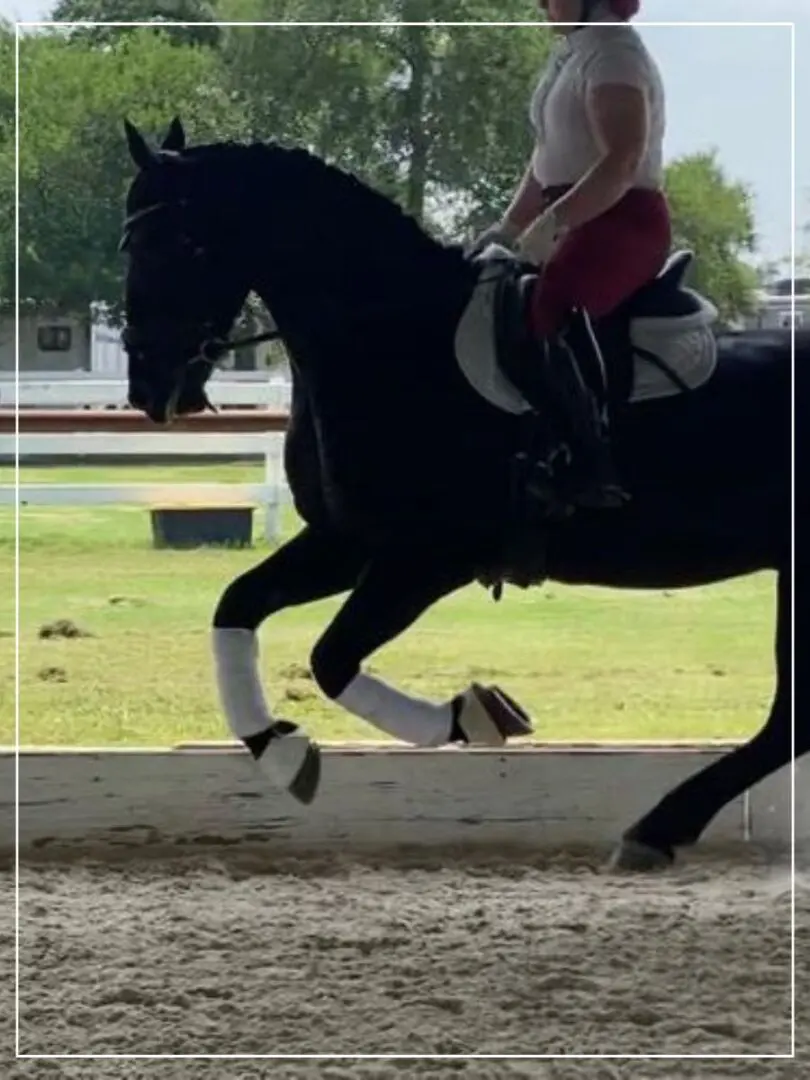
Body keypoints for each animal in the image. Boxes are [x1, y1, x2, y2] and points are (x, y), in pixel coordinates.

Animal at [118, 118, 799, 868]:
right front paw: (283, 754)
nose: (149, 384)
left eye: (181, 244)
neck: (393, 340)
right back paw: (659, 829)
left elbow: (331, 658)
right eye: (129, 242)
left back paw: (656, 829)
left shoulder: (425, 560)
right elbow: (237, 606)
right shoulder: (346, 542)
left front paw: (477, 714)